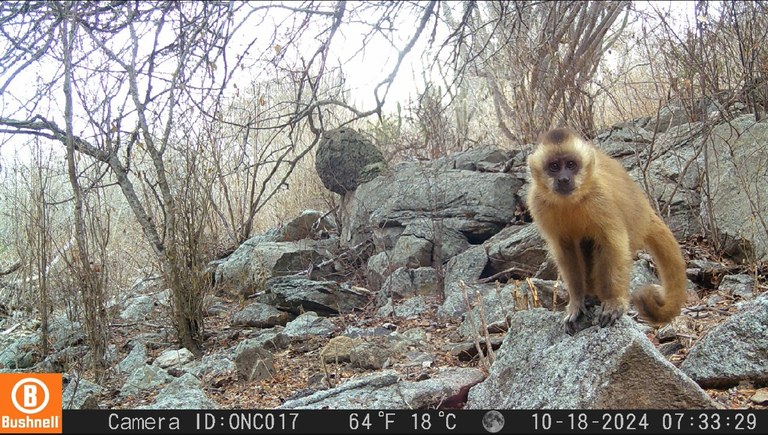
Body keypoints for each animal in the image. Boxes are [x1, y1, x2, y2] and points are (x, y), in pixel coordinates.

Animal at [526, 127, 688, 335]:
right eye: (554, 166)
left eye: (571, 165)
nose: (563, 179)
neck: (571, 202)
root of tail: (646, 210)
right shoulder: (538, 202)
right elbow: (566, 252)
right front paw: (576, 302)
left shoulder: (599, 198)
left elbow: (612, 244)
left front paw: (613, 302)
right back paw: (590, 296)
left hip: (635, 225)